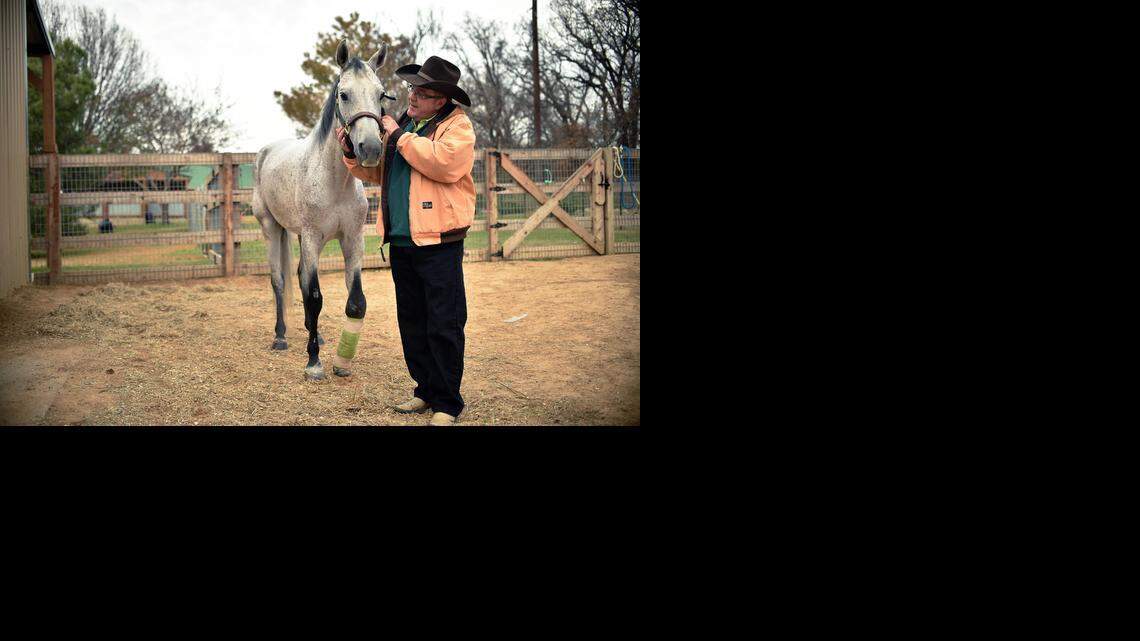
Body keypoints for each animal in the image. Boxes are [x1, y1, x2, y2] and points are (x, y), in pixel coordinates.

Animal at [252, 39, 391, 380]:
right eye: (344, 94)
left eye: (381, 94)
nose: (370, 149)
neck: (335, 180)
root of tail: (266, 151)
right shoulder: (313, 238)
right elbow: (314, 296)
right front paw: (313, 363)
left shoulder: (352, 239)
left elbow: (355, 300)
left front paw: (342, 362)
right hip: (272, 228)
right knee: (279, 281)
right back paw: (281, 336)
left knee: (300, 278)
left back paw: (314, 334)